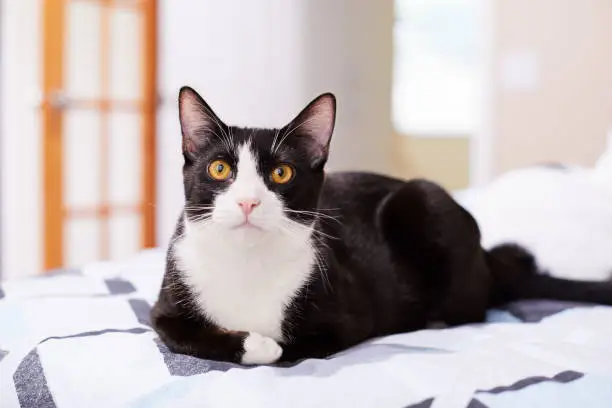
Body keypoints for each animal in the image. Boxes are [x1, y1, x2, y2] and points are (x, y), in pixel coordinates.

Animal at [151, 87, 612, 366]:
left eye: (281, 173)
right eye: (219, 168)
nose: (248, 201)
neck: (246, 263)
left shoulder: (352, 315)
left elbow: (297, 346)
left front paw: (266, 343)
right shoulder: (164, 307)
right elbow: (179, 333)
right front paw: (254, 342)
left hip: (423, 199)